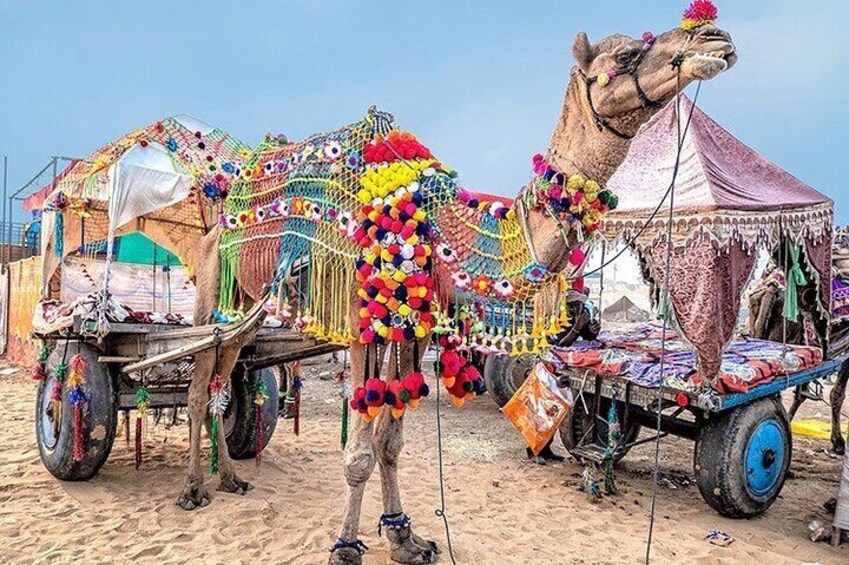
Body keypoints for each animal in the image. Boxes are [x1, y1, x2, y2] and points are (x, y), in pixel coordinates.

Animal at [176, 5, 732, 564]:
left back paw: (230, 479)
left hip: (243, 308)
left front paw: (405, 537)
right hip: (210, 288)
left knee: (225, 373)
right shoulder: (361, 327)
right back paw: (194, 489)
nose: (714, 37)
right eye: (627, 53)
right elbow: (360, 452)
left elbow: (390, 440)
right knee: (199, 386)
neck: (433, 225)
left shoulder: (412, 329)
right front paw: (347, 545)